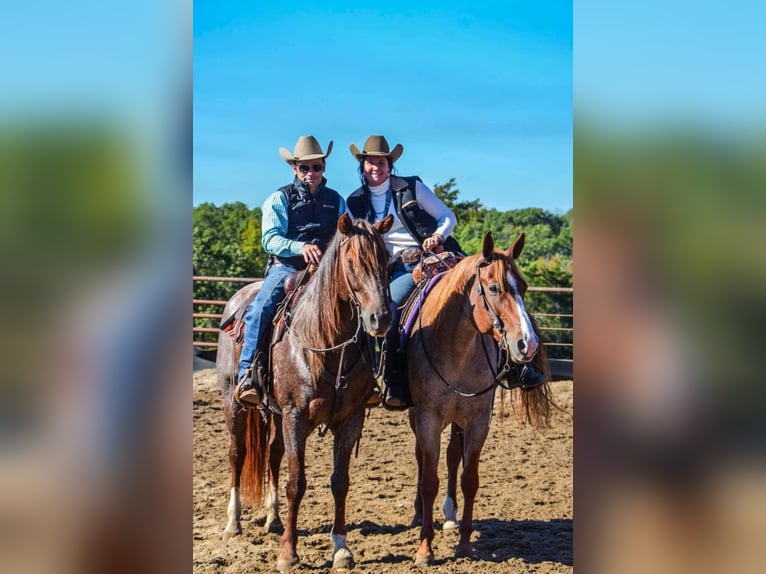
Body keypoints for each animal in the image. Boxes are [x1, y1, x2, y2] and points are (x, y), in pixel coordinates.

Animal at [218, 214, 392, 572]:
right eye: (352, 262)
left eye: (387, 260)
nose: (380, 318)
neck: (324, 342)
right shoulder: (296, 416)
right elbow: (296, 483)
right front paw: (288, 554)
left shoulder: (350, 419)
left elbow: (340, 482)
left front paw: (341, 548)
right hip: (234, 404)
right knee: (237, 454)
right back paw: (233, 522)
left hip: (275, 414)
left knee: (272, 453)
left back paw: (273, 519)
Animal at [408, 231, 552, 568]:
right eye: (495, 287)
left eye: (524, 286)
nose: (528, 344)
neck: (455, 347)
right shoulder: (427, 418)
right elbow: (429, 479)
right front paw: (425, 549)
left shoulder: (477, 420)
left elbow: (469, 479)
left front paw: (464, 544)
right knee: (423, 459)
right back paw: (421, 514)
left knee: (451, 456)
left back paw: (450, 516)